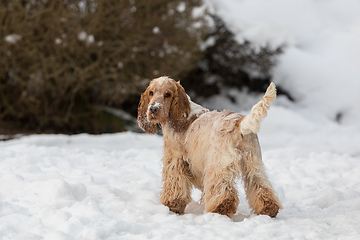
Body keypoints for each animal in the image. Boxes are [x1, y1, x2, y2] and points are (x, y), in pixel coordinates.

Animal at [137, 76, 282, 218]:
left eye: (168, 94)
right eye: (151, 93)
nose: (153, 109)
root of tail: (239, 122)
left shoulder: (175, 160)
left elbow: (175, 187)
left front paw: (172, 206)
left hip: (219, 164)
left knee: (224, 192)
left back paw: (220, 210)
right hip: (253, 164)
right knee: (262, 188)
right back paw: (268, 209)